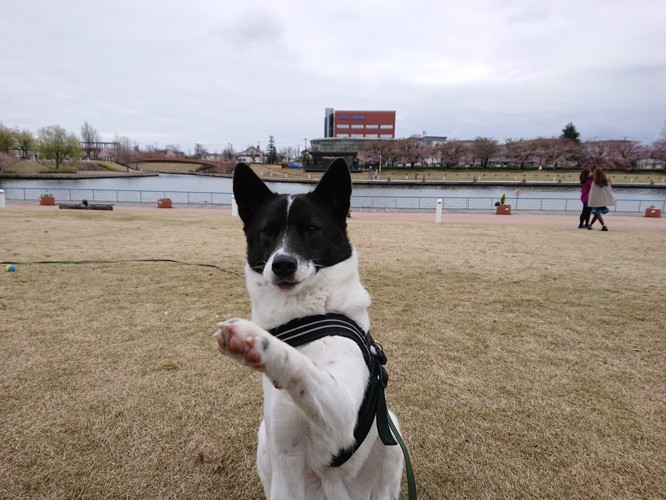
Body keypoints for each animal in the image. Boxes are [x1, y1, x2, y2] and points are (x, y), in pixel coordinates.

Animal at [214, 160, 400, 500]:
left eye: (312, 229)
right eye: (267, 231)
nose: (282, 264)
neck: (305, 318)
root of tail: (334, 487)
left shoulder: (343, 414)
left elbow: (299, 364)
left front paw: (253, 341)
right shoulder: (285, 457)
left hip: (391, 435)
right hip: (265, 441)